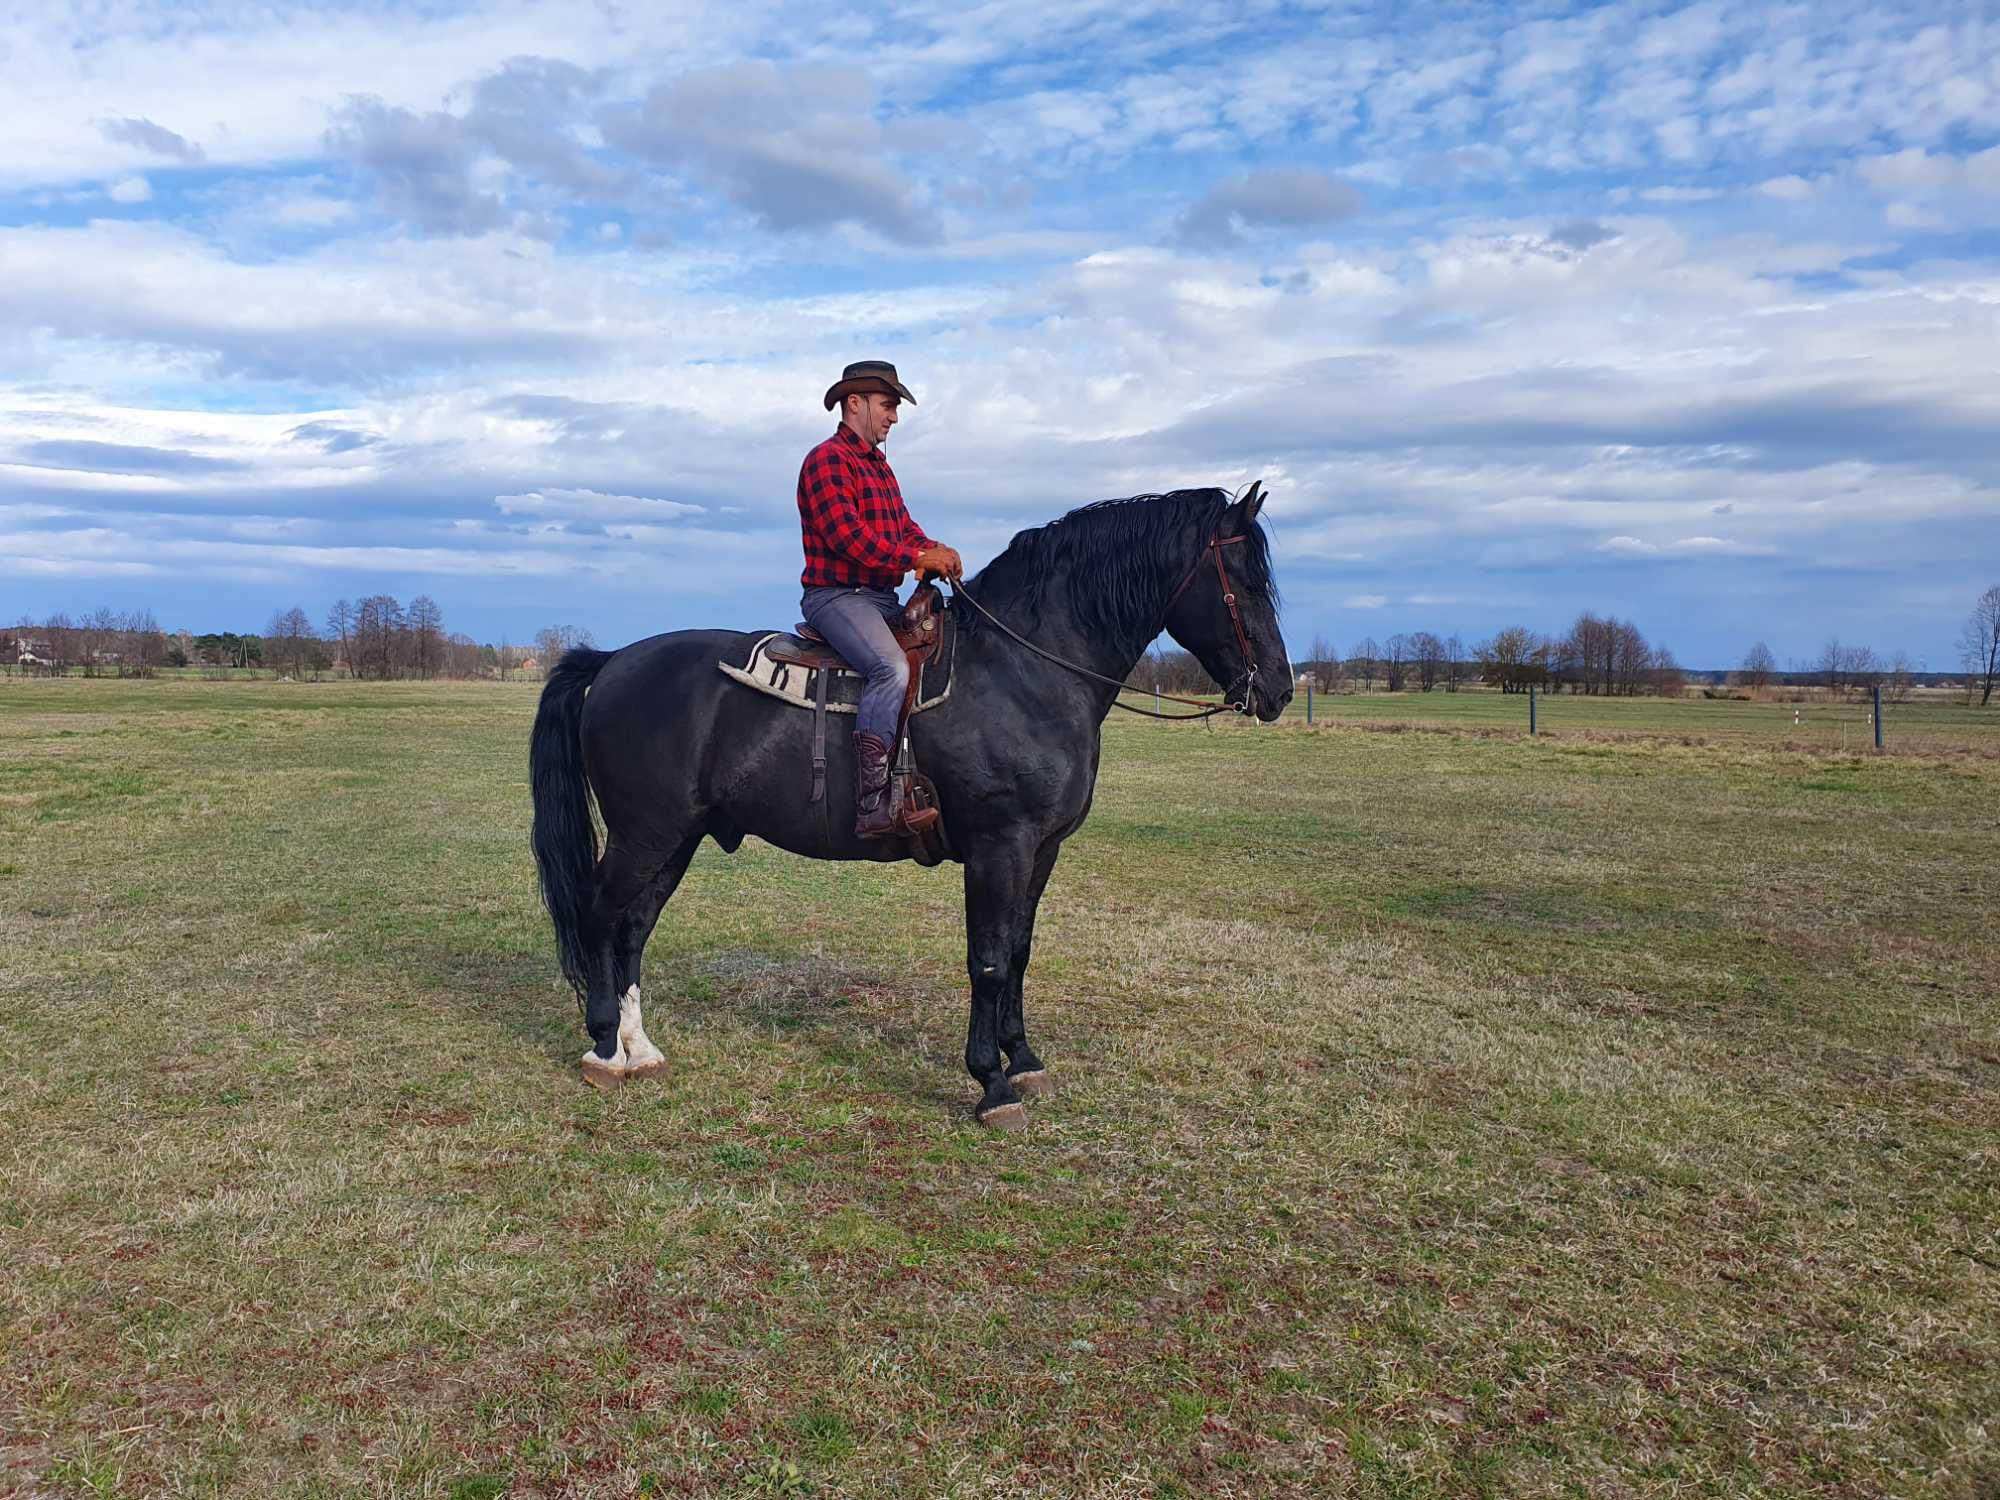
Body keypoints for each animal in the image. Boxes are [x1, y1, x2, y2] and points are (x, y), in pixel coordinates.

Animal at [524, 482, 1288, 1128]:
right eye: (1247, 580)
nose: (1278, 690)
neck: (1023, 672)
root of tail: (614, 660)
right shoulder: (998, 846)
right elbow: (988, 959)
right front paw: (992, 1084)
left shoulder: (1042, 849)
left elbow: (1020, 951)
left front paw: (1024, 1059)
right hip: (642, 835)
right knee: (599, 916)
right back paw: (603, 1048)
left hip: (677, 837)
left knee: (631, 928)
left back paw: (639, 1048)